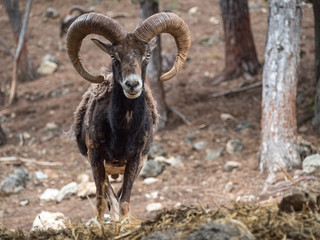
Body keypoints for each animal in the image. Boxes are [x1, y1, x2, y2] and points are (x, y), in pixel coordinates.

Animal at [66, 11, 189, 221]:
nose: (132, 84)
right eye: (114, 56)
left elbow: (124, 202)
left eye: (146, 55)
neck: (122, 131)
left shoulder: (135, 160)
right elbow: (102, 202)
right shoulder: (95, 157)